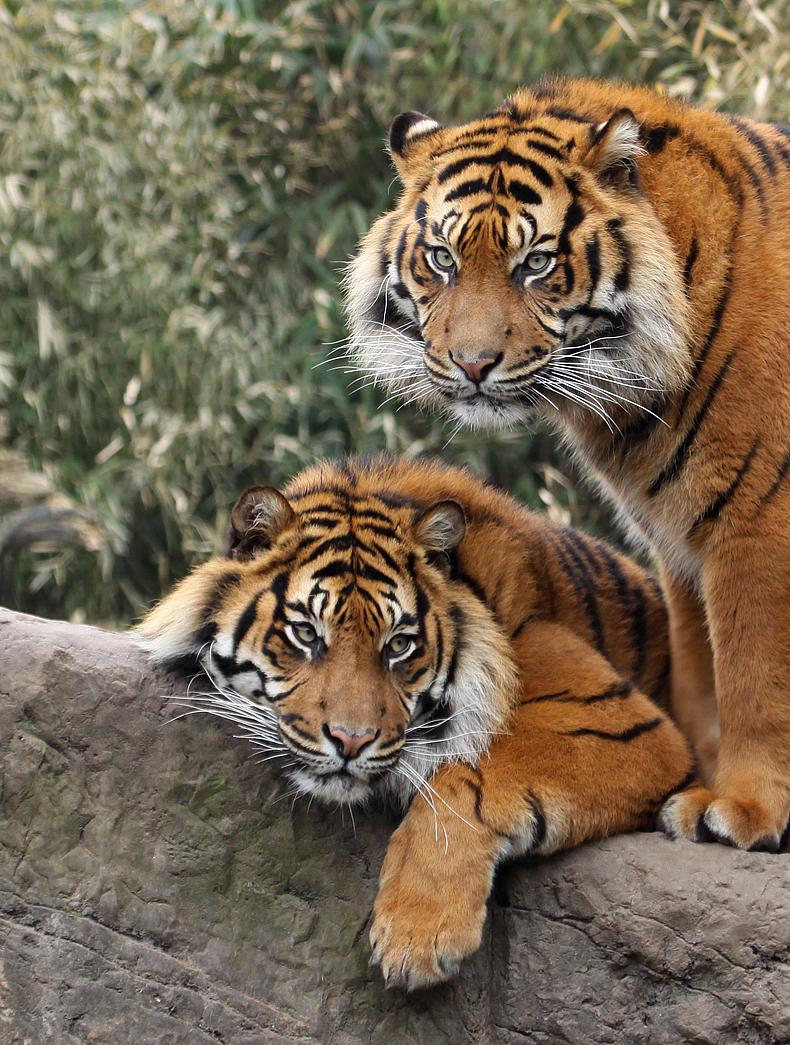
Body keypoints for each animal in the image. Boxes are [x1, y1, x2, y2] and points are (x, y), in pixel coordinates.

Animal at [136, 453, 692, 989]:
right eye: (305, 634)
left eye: (399, 645)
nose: (351, 741)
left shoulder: (619, 720)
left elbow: (472, 778)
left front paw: (418, 934)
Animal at [345, 76, 790, 854]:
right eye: (443, 259)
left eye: (536, 264)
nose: (472, 364)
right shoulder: (680, 538)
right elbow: (700, 676)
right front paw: (692, 787)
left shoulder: (757, 520)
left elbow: (753, 676)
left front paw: (741, 807)